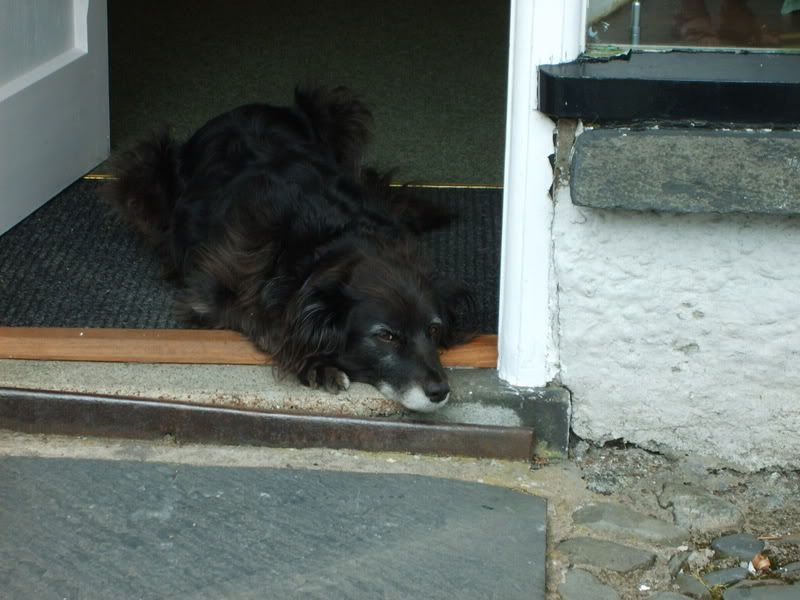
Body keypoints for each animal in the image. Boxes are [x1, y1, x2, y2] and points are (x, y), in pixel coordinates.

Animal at [103, 86, 473, 412]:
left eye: (434, 329)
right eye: (386, 336)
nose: (440, 391)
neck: (327, 238)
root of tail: (238, 109)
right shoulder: (212, 294)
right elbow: (266, 323)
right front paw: (316, 366)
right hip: (146, 168)